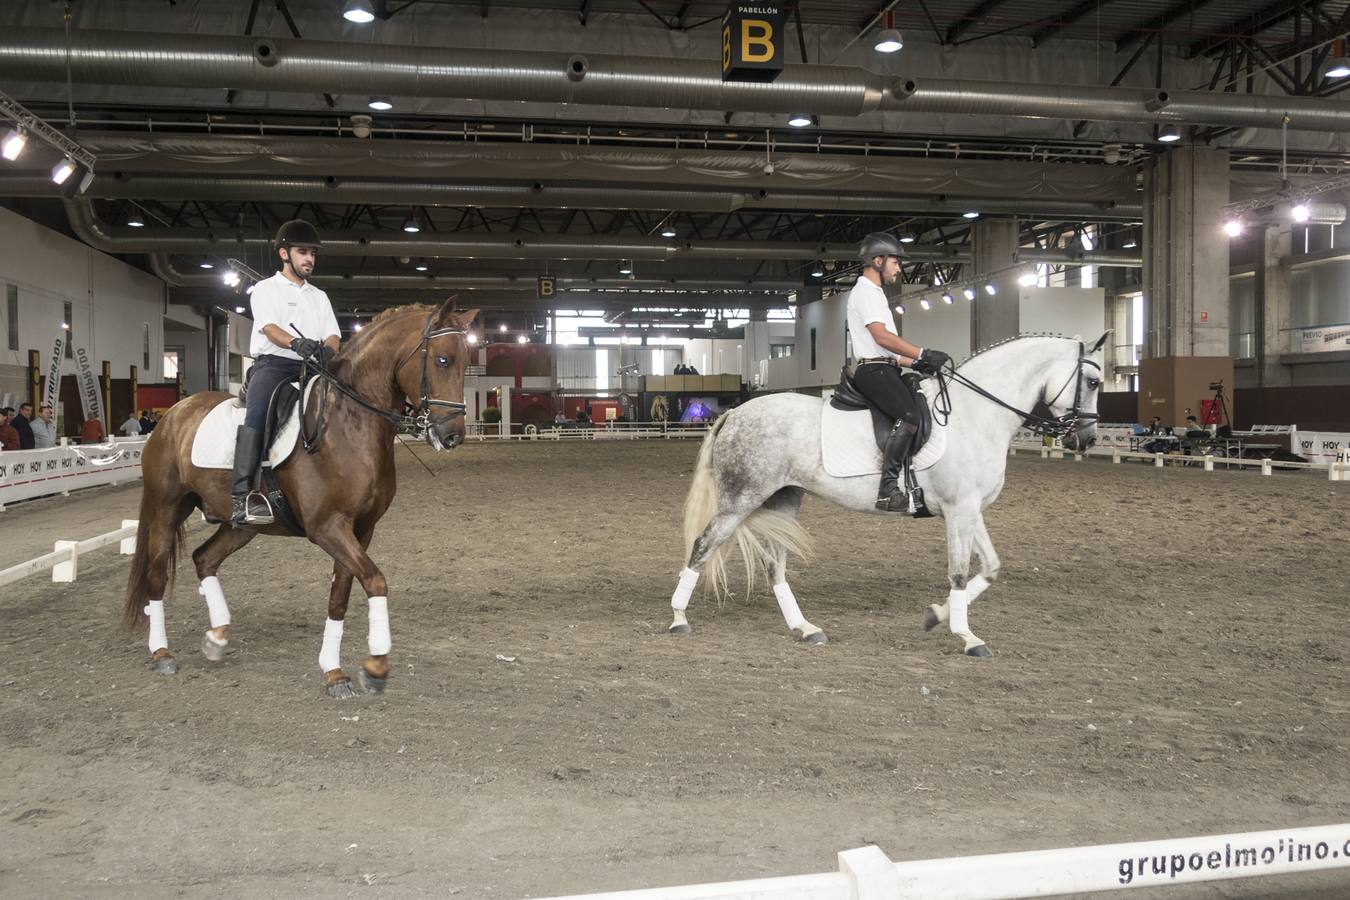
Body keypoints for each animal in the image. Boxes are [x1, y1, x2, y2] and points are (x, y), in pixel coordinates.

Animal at [122, 299, 480, 701]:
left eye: (467, 360)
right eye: (443, 360)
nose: (452, 436)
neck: (347, 424)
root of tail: (174, 414)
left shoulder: (361, 529)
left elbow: (341, 595)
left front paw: (335, 672)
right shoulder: (327, 528)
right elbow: (375, 581)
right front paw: (375, 667)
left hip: (240, 525)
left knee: (204, 558)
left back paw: (217, 637)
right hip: (166, 508)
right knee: (155, 576)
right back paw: (162, 653)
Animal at [666, 330, 1107, 655]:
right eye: (1093, 381)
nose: (1086, 439)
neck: (975, 416)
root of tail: (734, 412)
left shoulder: (970, 510)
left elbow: (991, 567)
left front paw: (937, 616)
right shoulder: (959, 509)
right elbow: (959, 571)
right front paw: (967, 637)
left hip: (785, 498)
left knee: (775, 565)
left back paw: (805, 628)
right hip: (740, 500)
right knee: (703, 545)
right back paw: (679, 619)